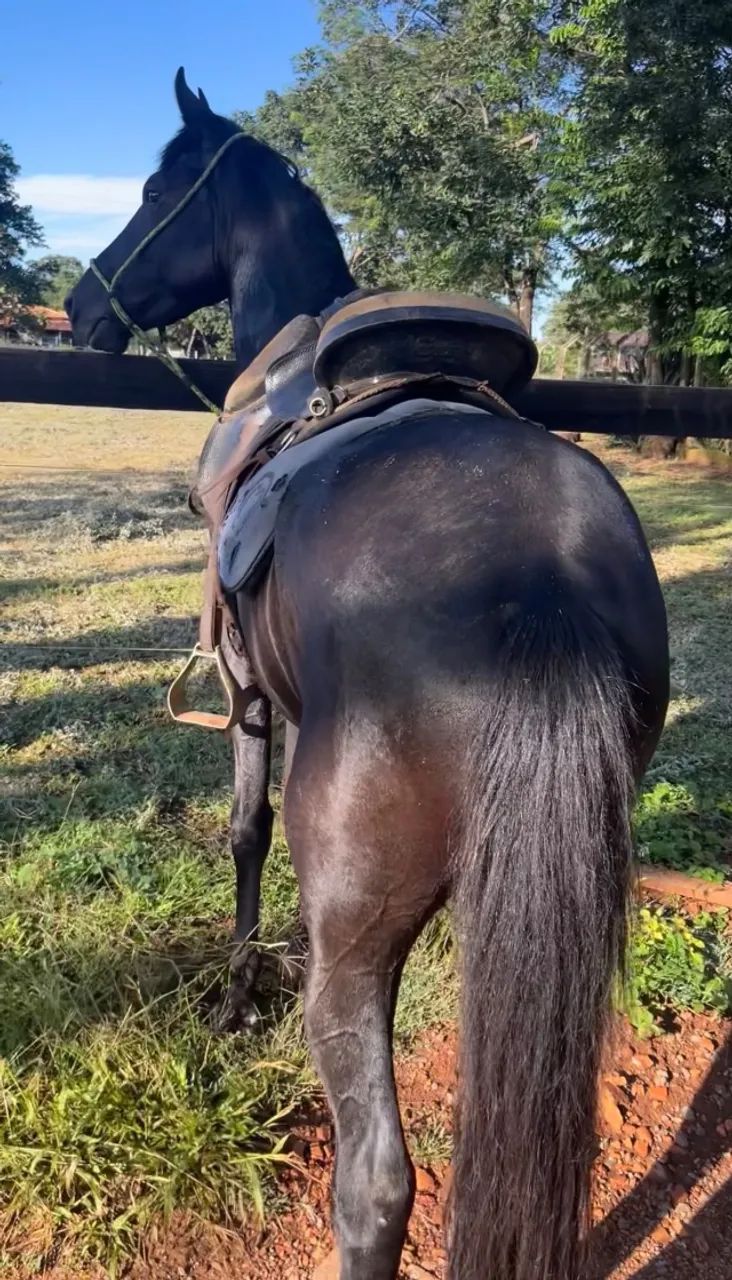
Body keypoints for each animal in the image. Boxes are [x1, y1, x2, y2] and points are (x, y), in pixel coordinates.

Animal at [67, 70, 669, 1280]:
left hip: (360, 927)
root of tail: (538, 584)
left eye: (154, 191)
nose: (77, 306)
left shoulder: (249, 692)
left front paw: (236, 997)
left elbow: (244, 831)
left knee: (378, 1183)